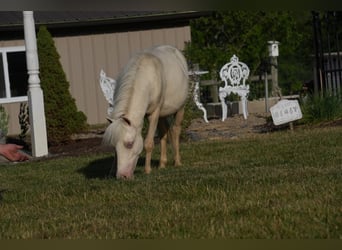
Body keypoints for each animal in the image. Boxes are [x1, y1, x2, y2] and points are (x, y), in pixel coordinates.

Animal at [103, 45, 190, 180]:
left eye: (130, 144)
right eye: (113, 145)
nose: (122, 176)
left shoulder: (153, 114)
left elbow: (148, 143)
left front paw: (147, 170)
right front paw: (112, 171)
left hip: (180, 108)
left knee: (175, 130)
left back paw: (177, 161)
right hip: (162, 113)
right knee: (164, 133)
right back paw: (162, 164)